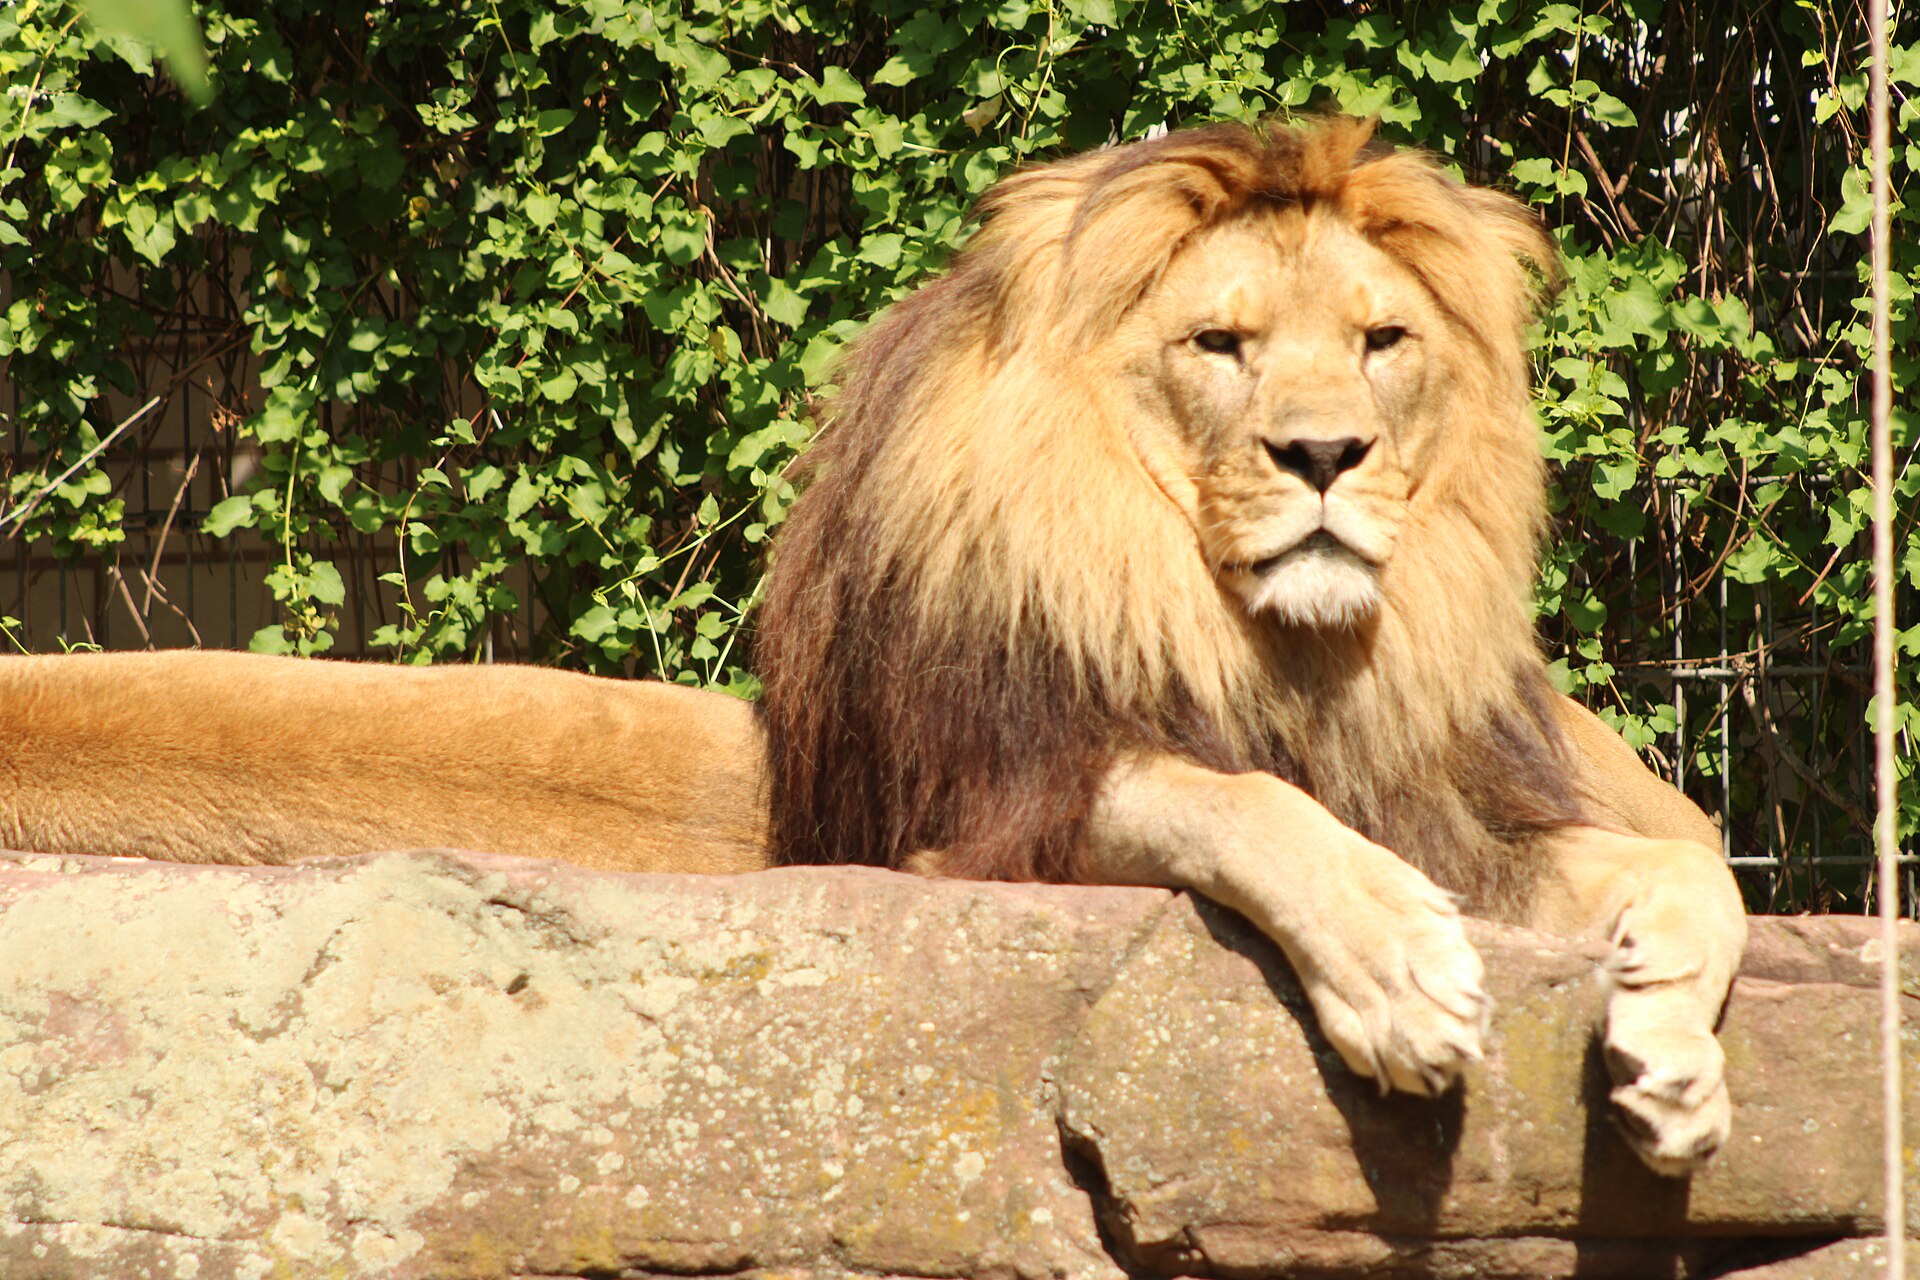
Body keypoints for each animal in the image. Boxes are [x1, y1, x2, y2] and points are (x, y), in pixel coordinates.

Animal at [0, 117, 1743, 1177]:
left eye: (1383, 342)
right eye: (1220, 345)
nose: (1329, 456)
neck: (1244, 629)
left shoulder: (1458, 803)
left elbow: (1686, 873)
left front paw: (1675, 1055)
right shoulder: (983, 803)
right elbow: (1233, 800)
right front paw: (1398, 972)